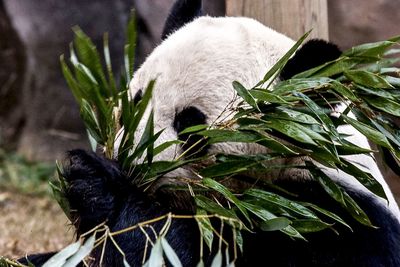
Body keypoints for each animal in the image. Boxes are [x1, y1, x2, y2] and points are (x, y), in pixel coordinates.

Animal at [18, 0, 400, 266]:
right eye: (137, 99)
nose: (132, 162)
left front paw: (102, 188)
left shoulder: (336, 222)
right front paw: (83, 182)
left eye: (190, 124)